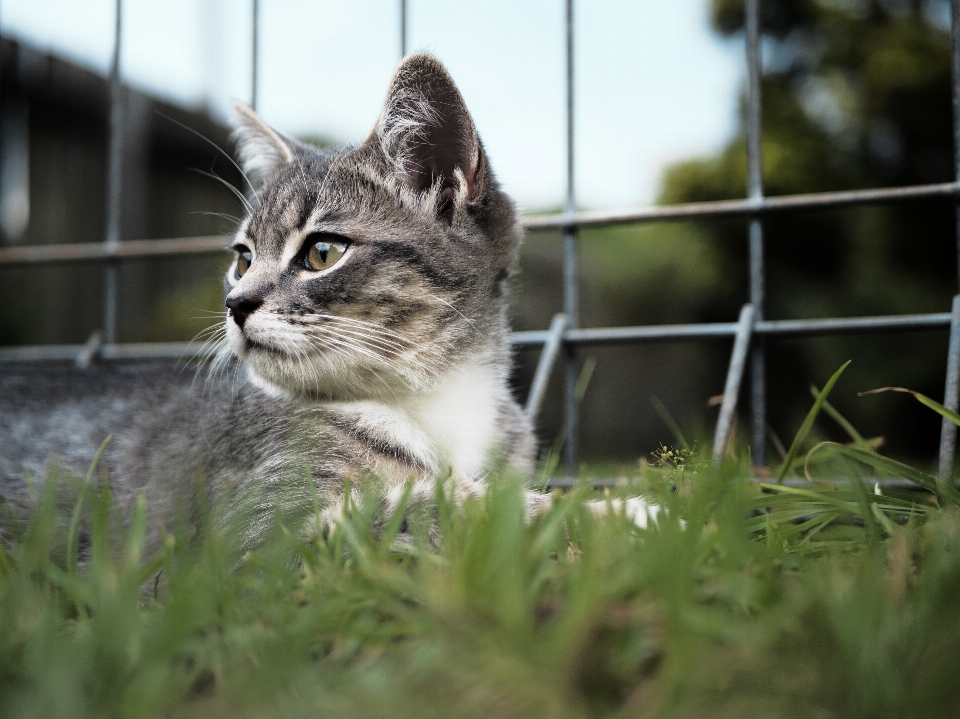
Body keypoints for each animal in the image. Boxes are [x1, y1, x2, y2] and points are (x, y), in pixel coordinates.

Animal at [0, 53, 652, 556]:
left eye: (322, 252)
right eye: (243, 258)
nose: (236, 301)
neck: (436, 404)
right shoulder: (263, 528)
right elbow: (438, 506)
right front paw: (624, 510)